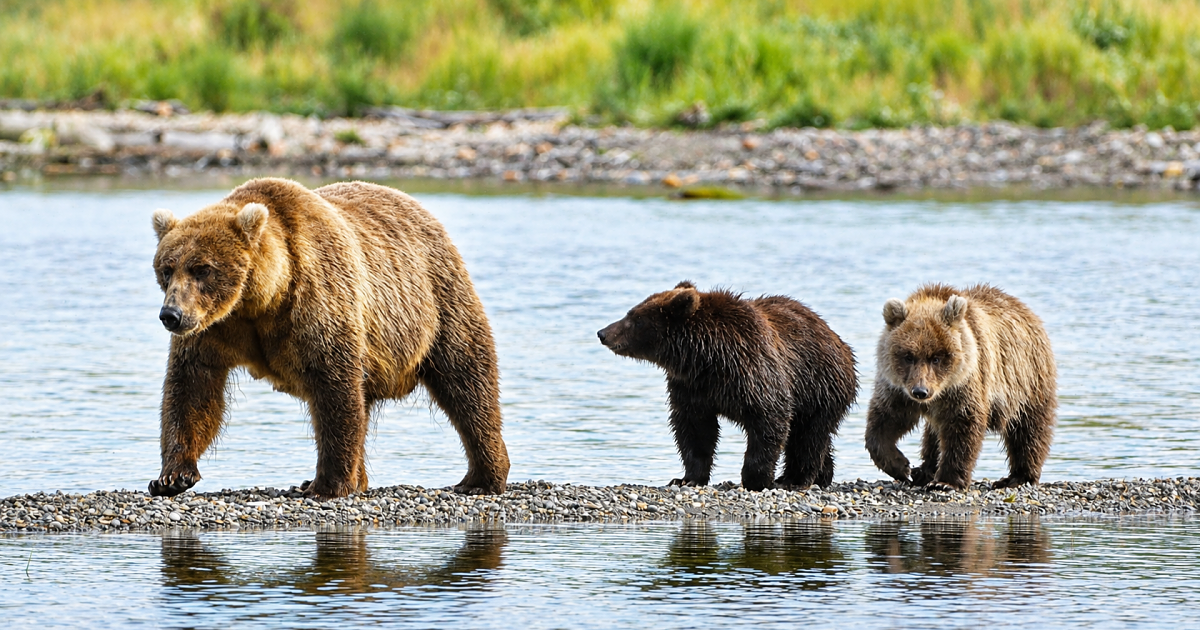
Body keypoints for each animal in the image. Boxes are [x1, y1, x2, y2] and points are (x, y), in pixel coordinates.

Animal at [148, 177, 509, 499]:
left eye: (202, 268)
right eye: (167, 268)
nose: (171, 315)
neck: (261, 300)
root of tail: (417, 206)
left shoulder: (317, 300)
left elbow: (334, 389)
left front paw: (327, 485)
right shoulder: (213, 330)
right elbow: (192, 388)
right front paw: (171, 477)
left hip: (436, 299)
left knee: (466, 380)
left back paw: (481, 478)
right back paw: (358, 479)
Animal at [597, 282, 857, 491]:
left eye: (636, 319)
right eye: (631, 313)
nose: (603, 333)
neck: (705, 357)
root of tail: (837, 338)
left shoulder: (753, 372)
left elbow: (769, 419)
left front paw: (756, 479)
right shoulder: (691, 387)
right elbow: (695, 429)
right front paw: (686, 478)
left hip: (818, 384)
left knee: (809, 435)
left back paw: (795, 479)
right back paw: (822, 475)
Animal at [864, 283, 1056, 491]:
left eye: (936, 358)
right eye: (908, 356)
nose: (921, 391)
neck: (940, 391)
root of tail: (1025, 309)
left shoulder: (965, 384)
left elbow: (962, 426)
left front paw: (945, 481)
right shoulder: (897, 388)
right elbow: (885, 421)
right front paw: (901, 467)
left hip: (1026, 379)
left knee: (1029, 429)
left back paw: (1018, 477)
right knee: (932, 435)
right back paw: (923, 470)